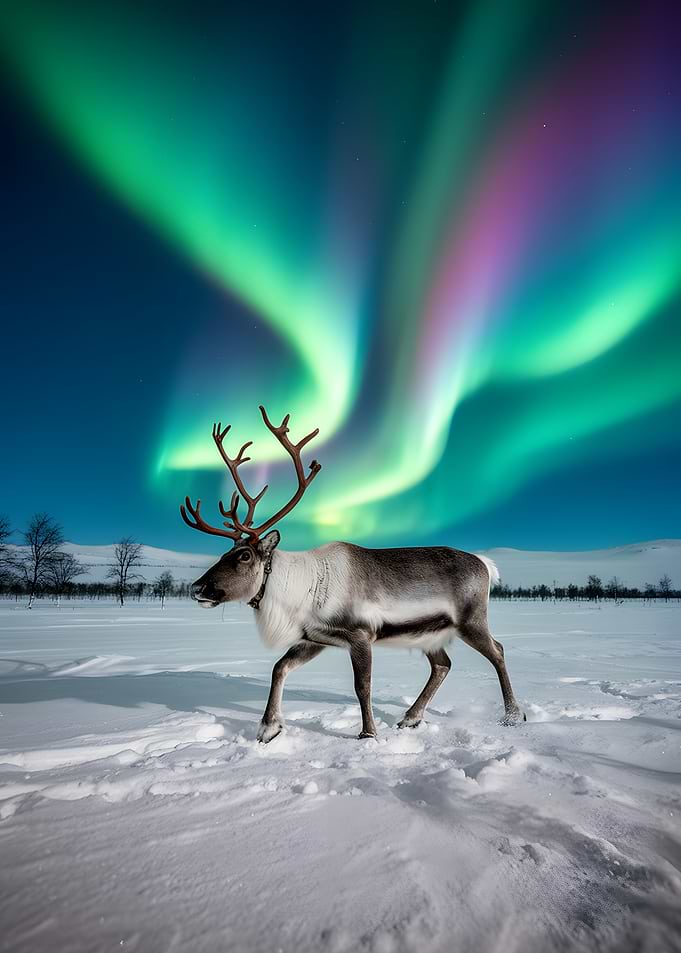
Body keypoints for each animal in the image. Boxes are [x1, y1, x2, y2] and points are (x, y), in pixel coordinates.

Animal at [181, 406, 524, 743]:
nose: (197, 587)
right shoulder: (315, 637)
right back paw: (410, 718)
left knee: (498, 651)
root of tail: (485, 564)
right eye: (224, 553)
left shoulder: (360, 634)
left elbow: (363, 686)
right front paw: (268, 729)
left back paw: (512, 715)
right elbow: (279, 667)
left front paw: (368, 733)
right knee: (443, 664)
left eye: (243, 555)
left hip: (471, 620)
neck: (301, 589)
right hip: (431, 633)